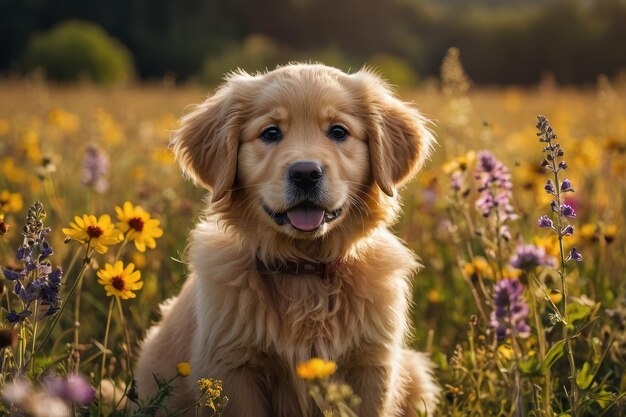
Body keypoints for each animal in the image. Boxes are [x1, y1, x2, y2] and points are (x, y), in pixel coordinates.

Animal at [136, 62, 438, 416]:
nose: (305, 173)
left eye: (338, 132)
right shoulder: (234, 369)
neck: (303, 269)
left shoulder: (371, 366)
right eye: (270, 133)